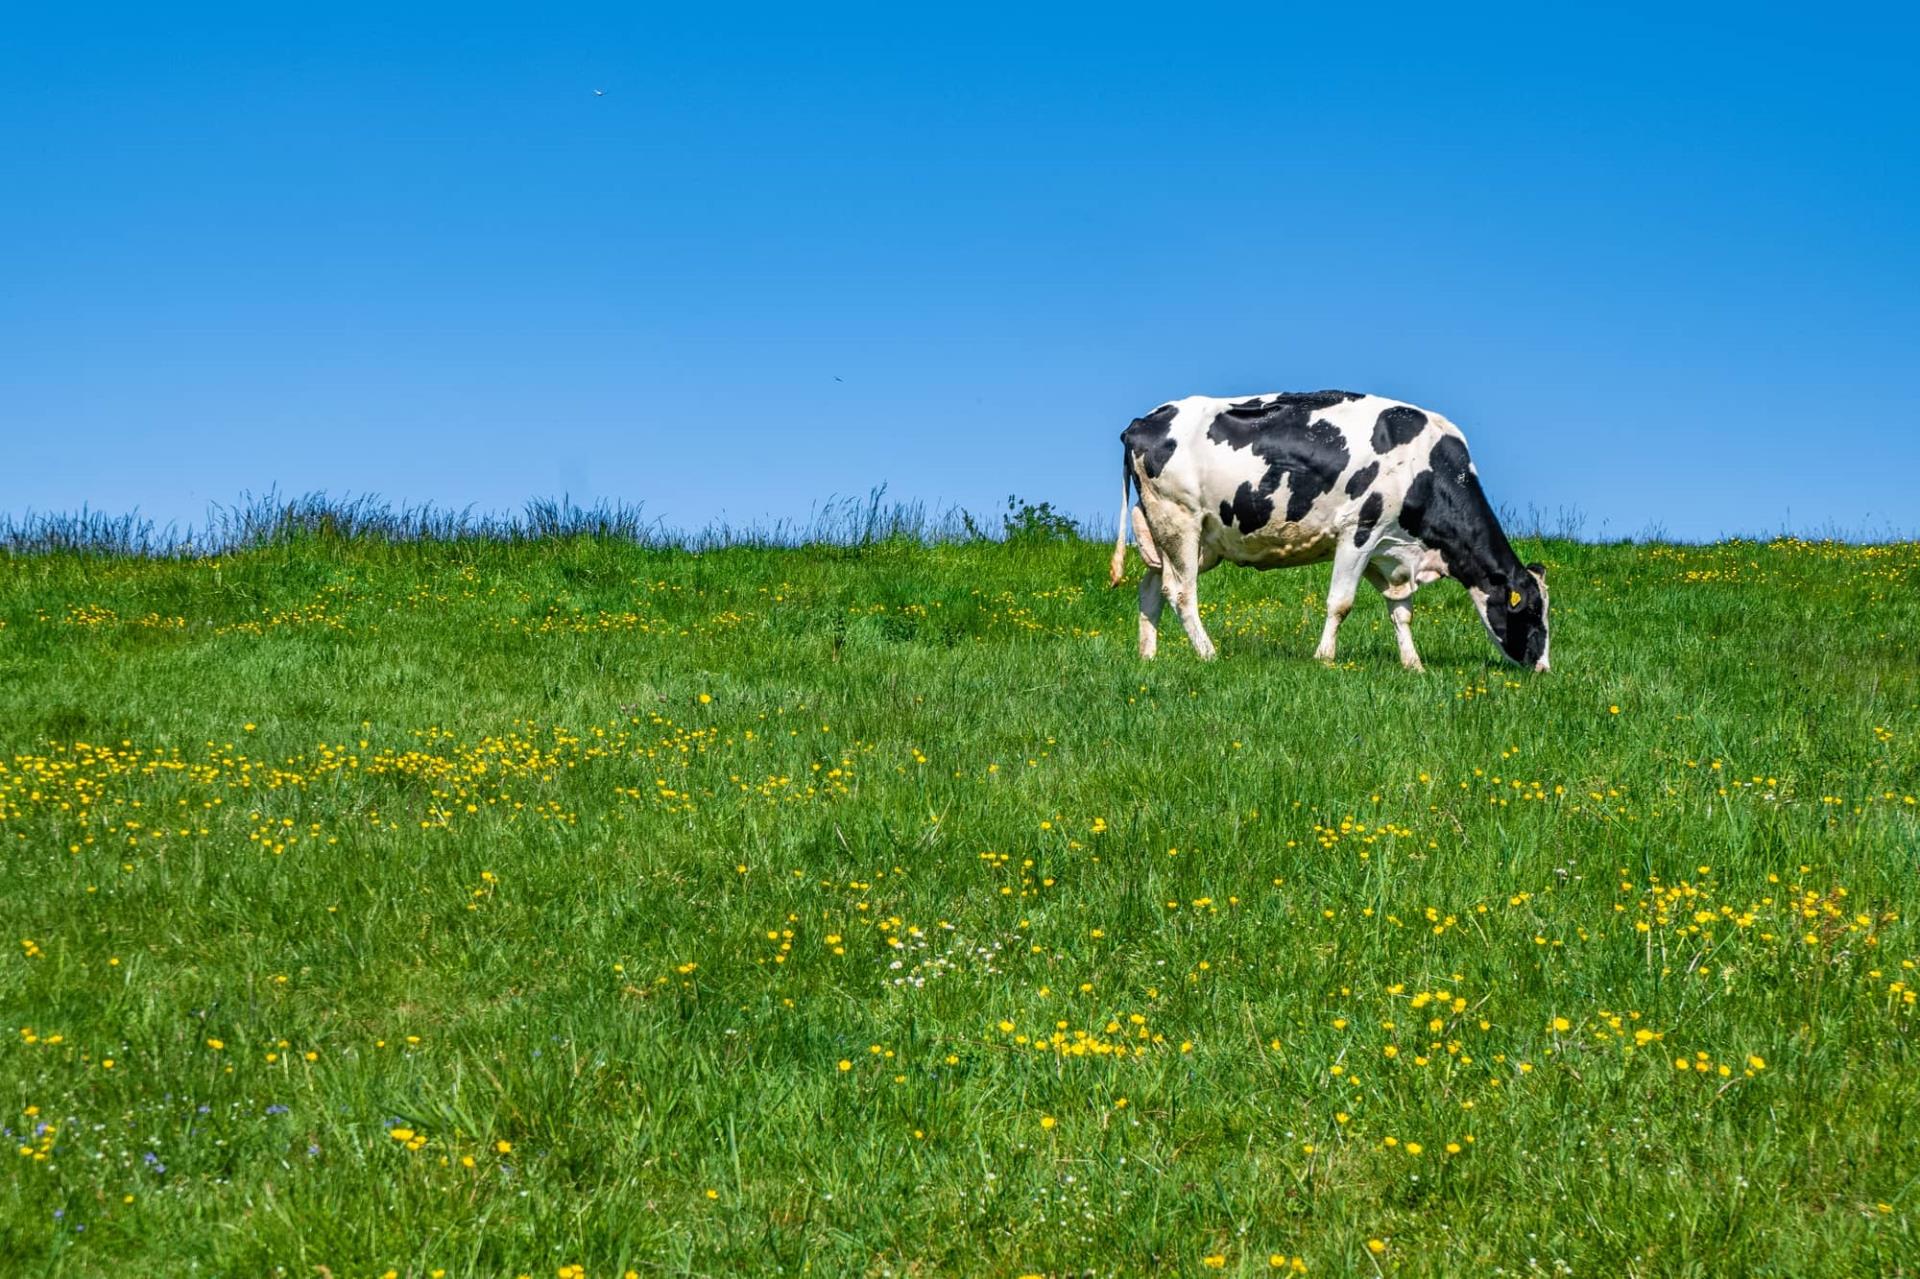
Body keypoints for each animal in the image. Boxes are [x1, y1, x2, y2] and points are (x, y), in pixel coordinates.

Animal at [1110, 390, 1549, 671]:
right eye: (1530, 610)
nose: (1542, 667)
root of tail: (1143, 421)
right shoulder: (1360, 529)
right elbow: (1341, 602)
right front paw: (1324, 659)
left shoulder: (1388, 552)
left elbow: (1401, 611)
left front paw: (1414, 665)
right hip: (1179, 519)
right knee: (1181, 592)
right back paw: (1208, 654)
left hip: (1180, 535)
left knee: (1151, 587)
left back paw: (1147, 656)